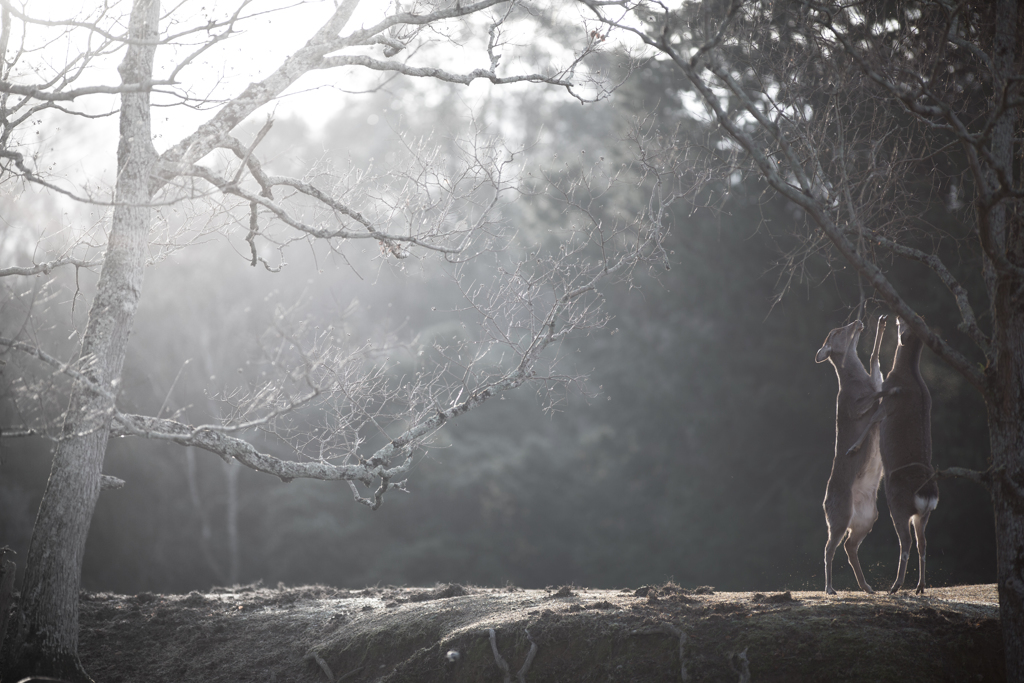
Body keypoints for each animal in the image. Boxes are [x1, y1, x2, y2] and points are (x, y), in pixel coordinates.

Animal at [815, 313, 888, 593]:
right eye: (836, 332)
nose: (857, 321)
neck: (859, 382)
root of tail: (824, 502)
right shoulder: (850, 405)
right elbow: (876, 396)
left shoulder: (872, 382)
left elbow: (876, 363)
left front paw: (883, 322)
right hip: (839, 512)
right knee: (829, 548)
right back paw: (829, 587)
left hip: (868, 517)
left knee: (849, 545)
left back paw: (867, 587)